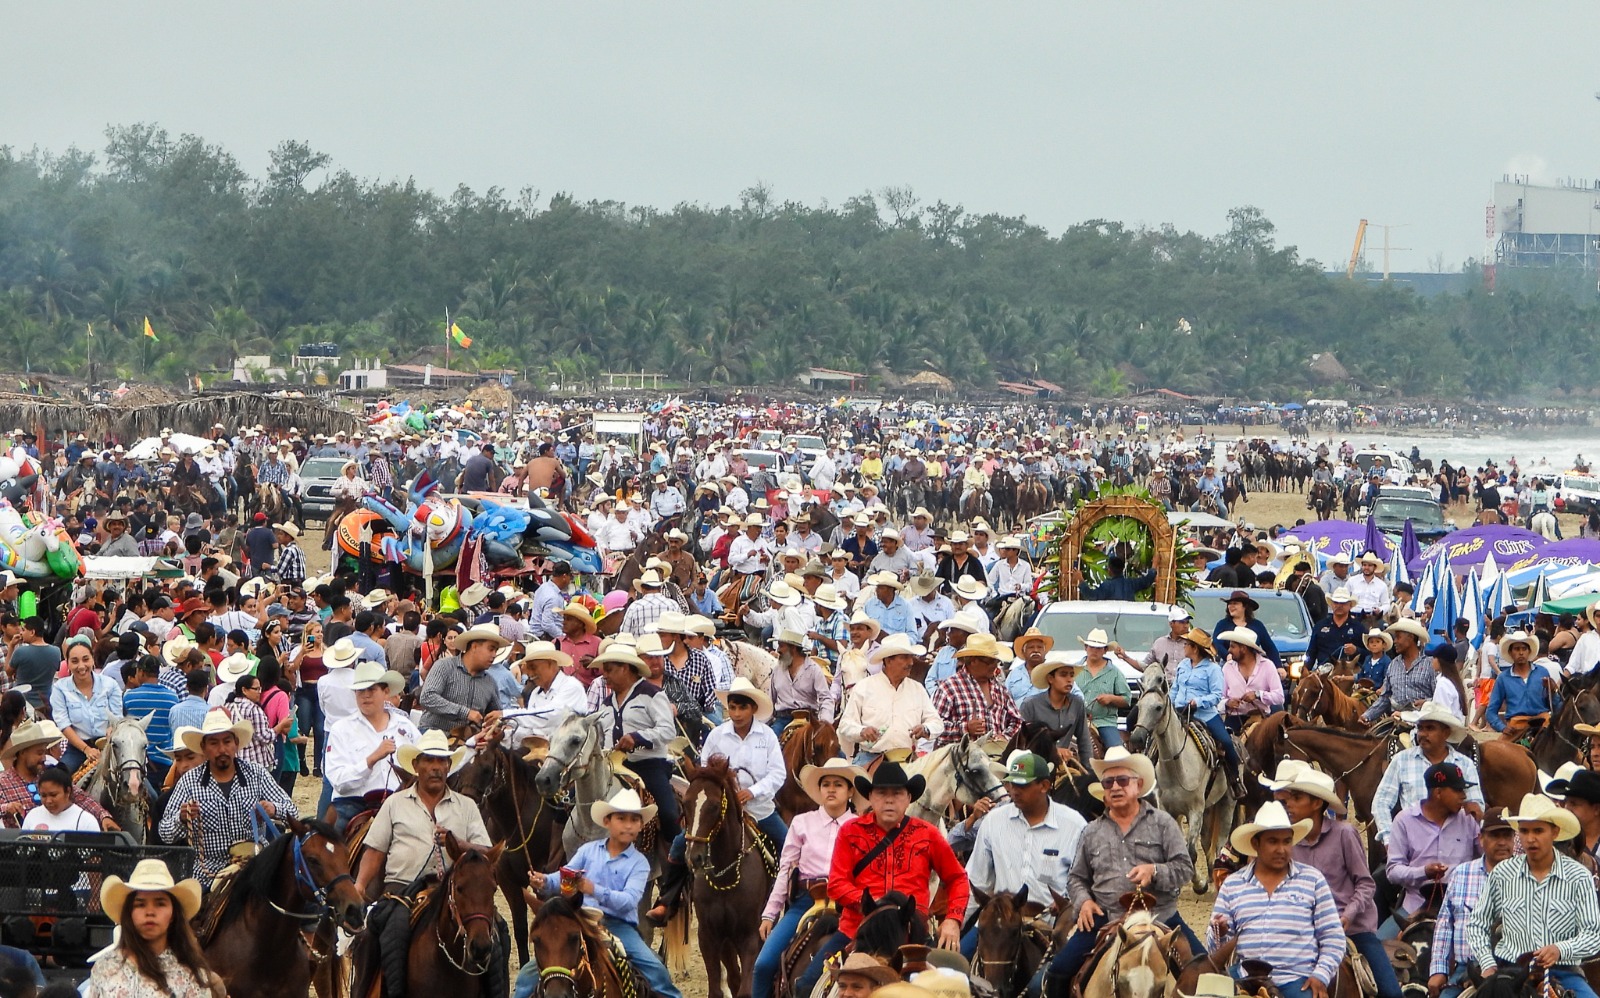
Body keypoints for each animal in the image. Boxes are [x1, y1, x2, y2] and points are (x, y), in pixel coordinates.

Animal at [678, 754, 771, 997]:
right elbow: (718, 988)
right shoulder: (708, 937)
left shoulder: (751, 936)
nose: (694, 857)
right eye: (685, 803)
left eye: (713, 806)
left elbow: (746, 989)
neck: (725, 878)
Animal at [1126, 665, 1235, 895]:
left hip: (1227, 803)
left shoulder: (1195, 810)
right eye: (1139, 705)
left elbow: (1190, 851)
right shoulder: (1167, 809)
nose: (1137, 738)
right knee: (1207, 841)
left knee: (1220, 841)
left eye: (1158, 707)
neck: (1178, 767)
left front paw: (1199, 885)